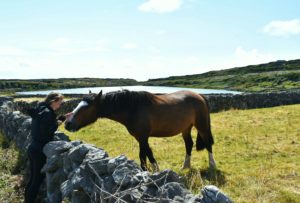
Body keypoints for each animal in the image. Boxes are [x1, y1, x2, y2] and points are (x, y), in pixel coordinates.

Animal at [65, 89, 216, 170]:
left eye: (86, 108)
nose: (67, 123)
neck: (132, 108)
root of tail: (200, 96)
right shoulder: (141, 138)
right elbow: (147, 154)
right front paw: (152, 170)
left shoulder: (143, 137)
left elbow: (144, 155)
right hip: (186, 128)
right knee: (189, 144)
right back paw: (185, 167)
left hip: (202, 126)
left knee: (208, 143)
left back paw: (212, 165)